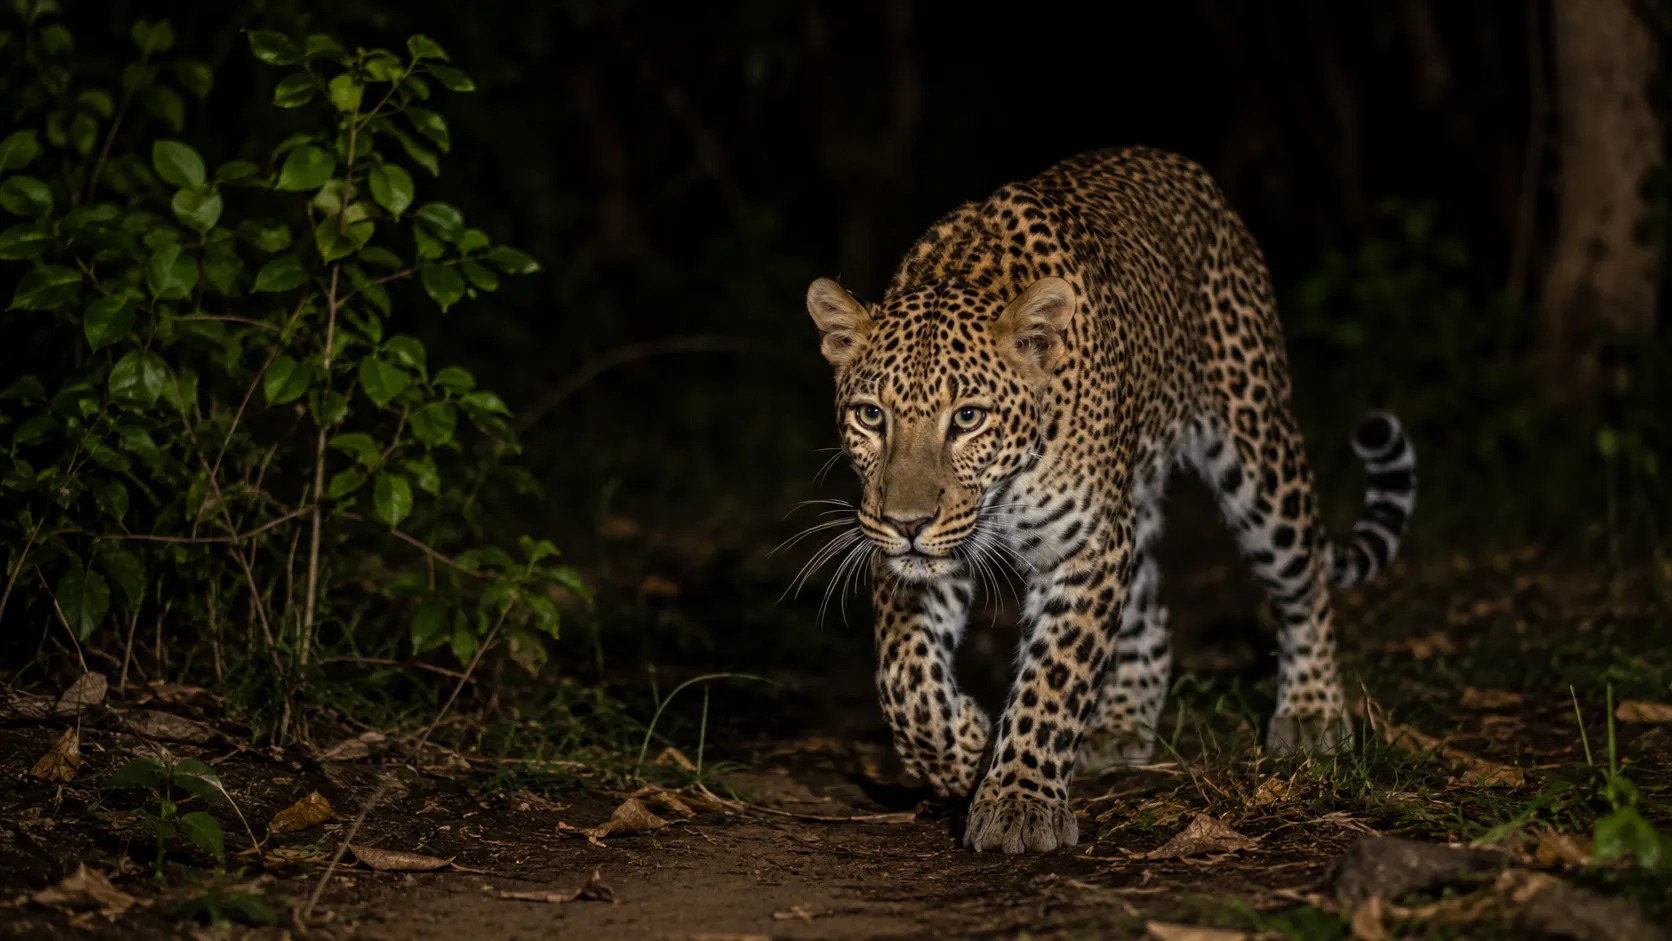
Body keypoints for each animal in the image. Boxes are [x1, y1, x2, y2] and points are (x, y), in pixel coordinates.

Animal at [801, 146, 1417, 855]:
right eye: (871, 416)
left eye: (968, 418)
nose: (907, 523)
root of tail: (1175, 164)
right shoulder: (919, 554)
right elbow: (903, 678)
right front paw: (964, 750)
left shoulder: (1084, 550)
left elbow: (1054, 679)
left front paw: (1018, 801)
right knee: (1152, 615)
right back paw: (1121, 722)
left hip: (1257, 448)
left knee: (1304, 581)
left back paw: (1312, 712)